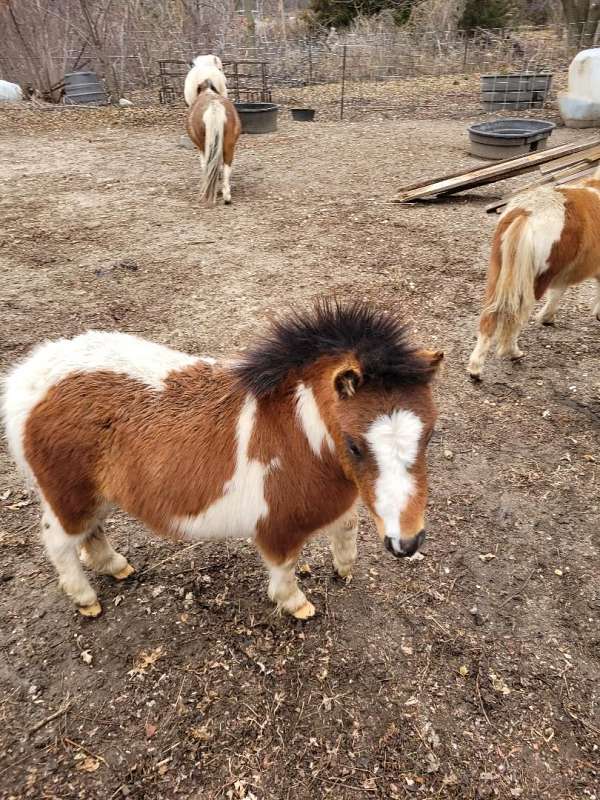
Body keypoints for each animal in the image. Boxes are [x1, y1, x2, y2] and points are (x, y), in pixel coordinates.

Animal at [2, 300, 442, 620]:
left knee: (92, 533)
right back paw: (85, 598)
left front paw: (344, 568)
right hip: (68, 497)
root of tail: (30, 377)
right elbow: (284, 569)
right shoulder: (278, 527)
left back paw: (115, 566)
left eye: (430, 433)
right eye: (354, 446)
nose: (407, 543)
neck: (299, 430)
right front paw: (296, 604)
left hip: (95, 495)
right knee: (59, 541)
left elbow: (347, 526)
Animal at [468, 170, 600, 382]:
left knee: (488, 317)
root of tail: (525, 213)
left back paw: (475, 368)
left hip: (497, 274)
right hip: (534, 281)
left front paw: (547, 318)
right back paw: (513, 352)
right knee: (515, 316)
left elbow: (557, 293)